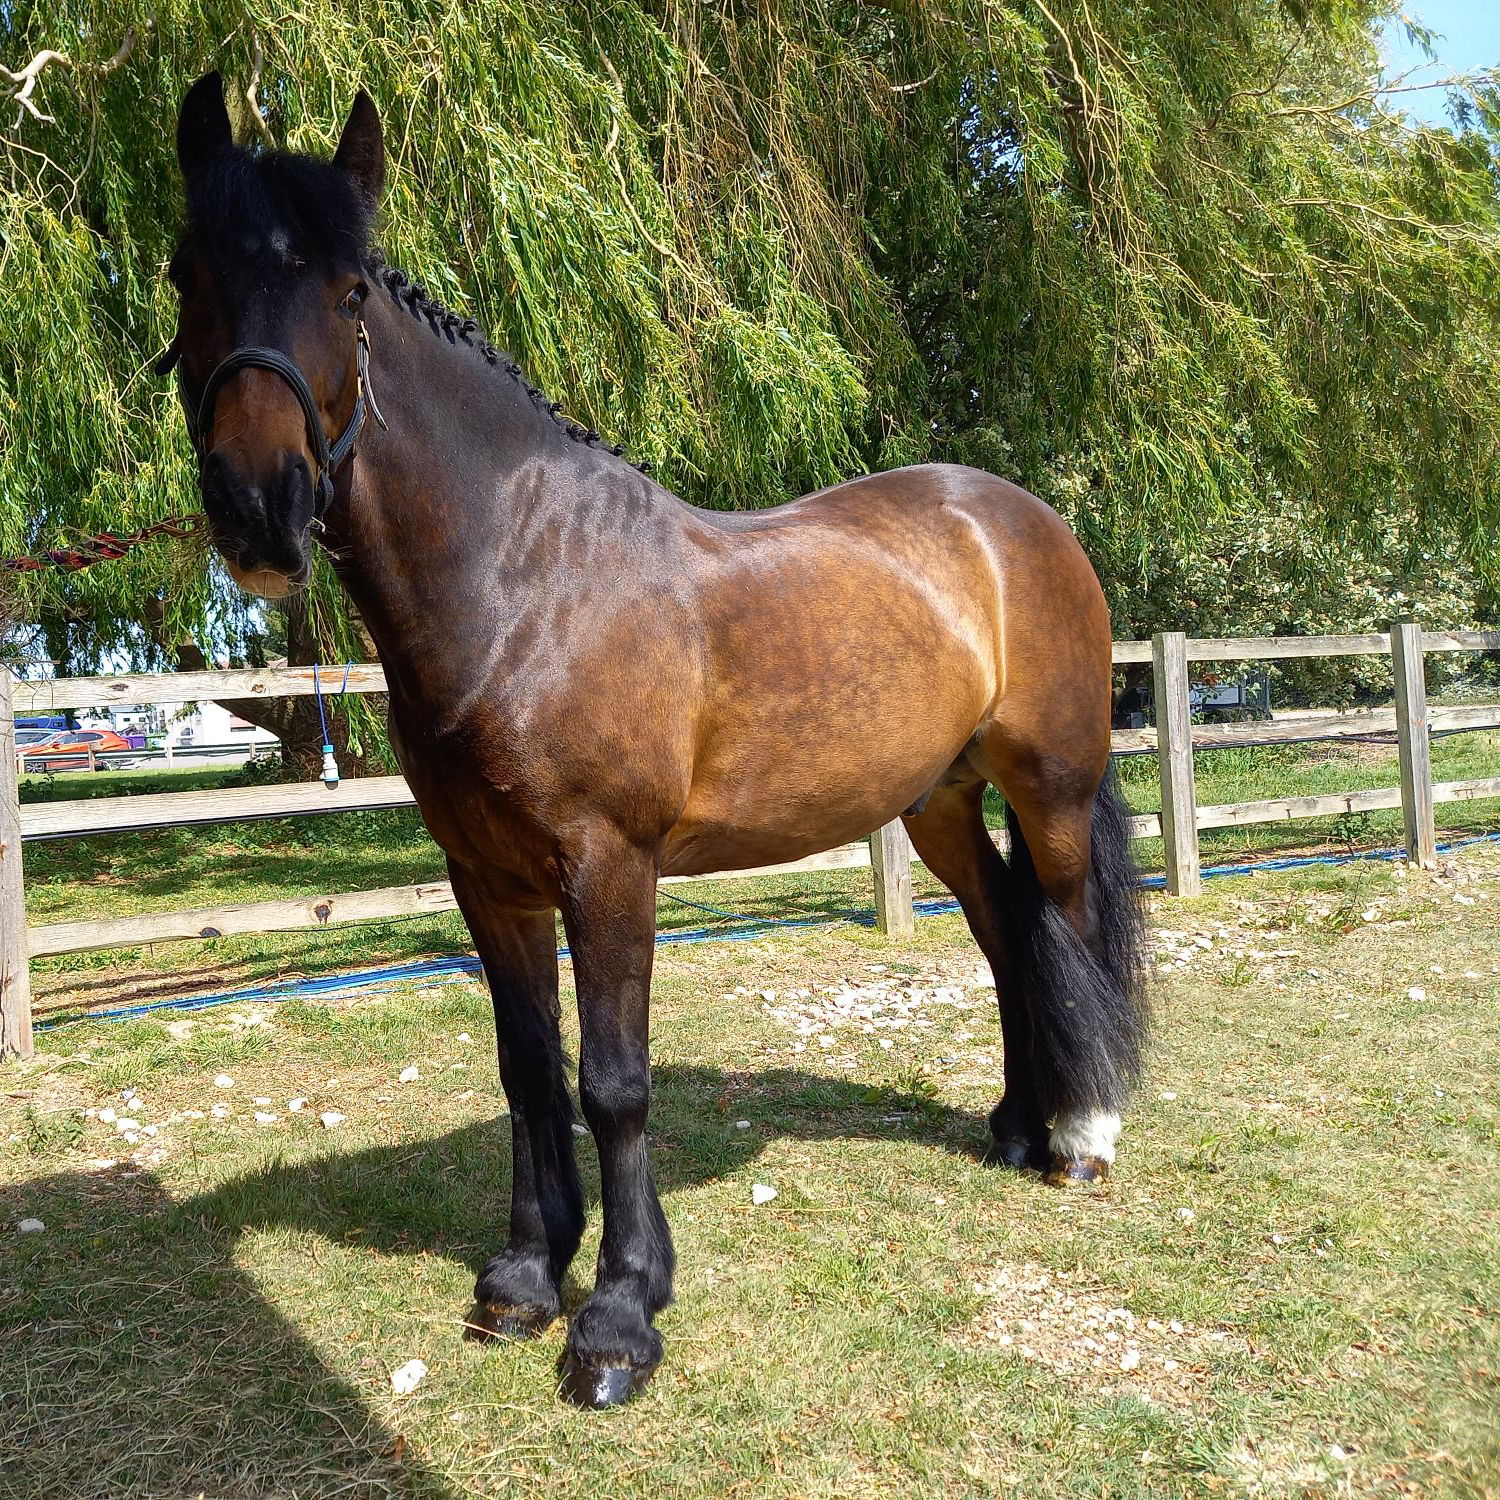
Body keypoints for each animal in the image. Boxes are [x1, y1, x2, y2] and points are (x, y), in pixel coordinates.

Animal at [161, 74, 1147, 1408]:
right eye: (186, 271)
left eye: (350, 290)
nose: (260, 505)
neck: (524, 581)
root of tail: (1018, 518)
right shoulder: (489, 878)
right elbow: (528, 1068)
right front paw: (525, 1280)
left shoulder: (610, 867)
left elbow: (612, 1083)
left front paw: (620, 1317)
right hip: (937, 801)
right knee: (1004, 938)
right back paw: (1011, 1127)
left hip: (1050, 784)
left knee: (1073, 926)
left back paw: (1081, 1141)